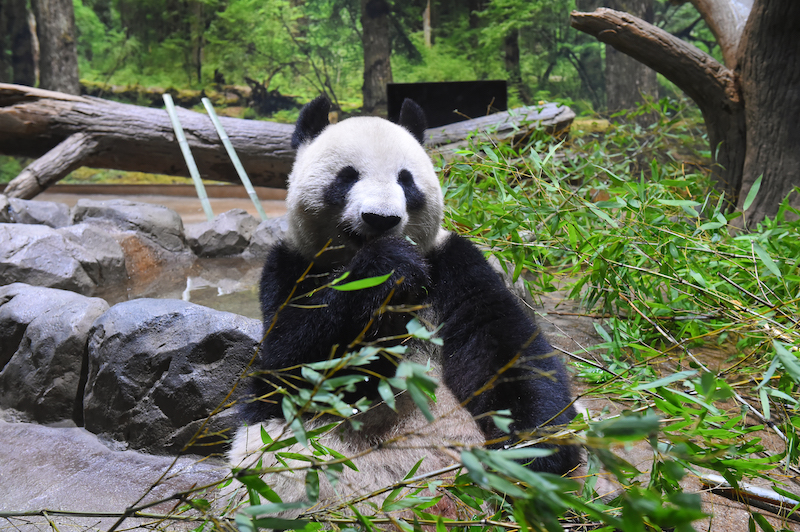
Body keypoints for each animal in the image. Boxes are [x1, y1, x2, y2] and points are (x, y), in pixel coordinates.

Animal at [227, 96, 580, 520]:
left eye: (406, 180)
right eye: (347, 176)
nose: (381, 219)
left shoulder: (452, 264)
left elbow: (505, 346)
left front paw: (531, 455)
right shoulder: (290, 267)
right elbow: (288, 362)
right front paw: (385, 268)